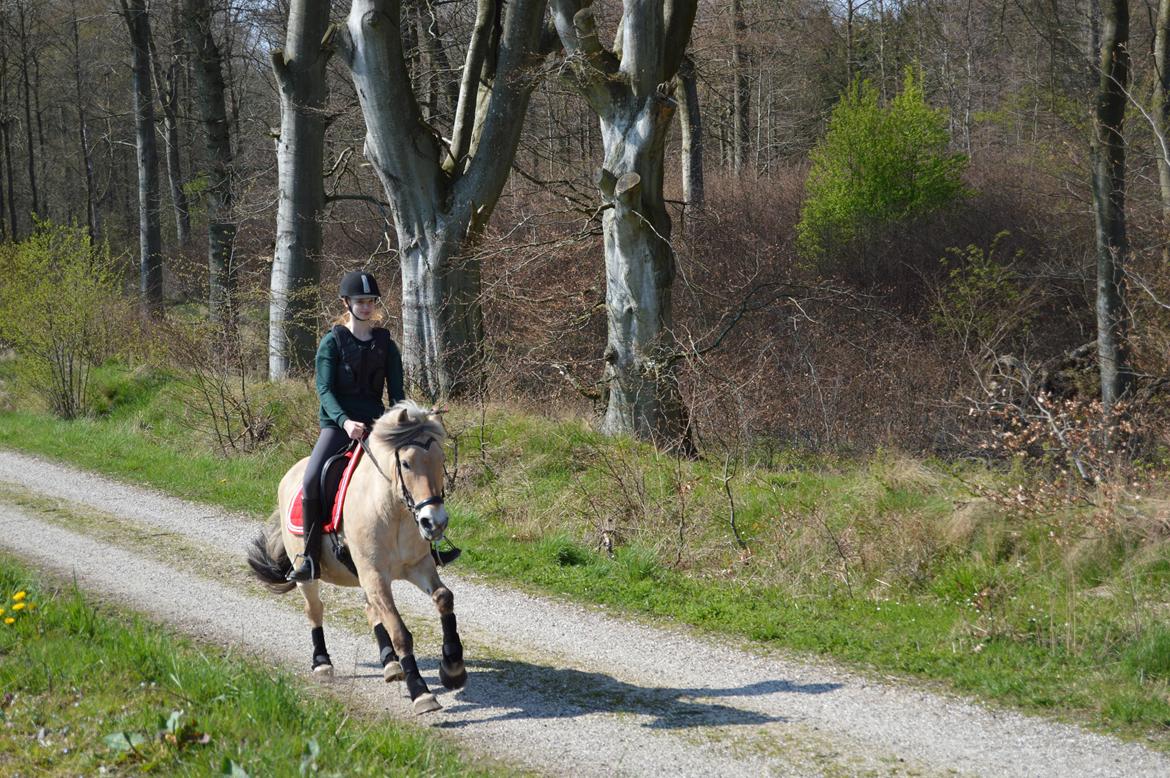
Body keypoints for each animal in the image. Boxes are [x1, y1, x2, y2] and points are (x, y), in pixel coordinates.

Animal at [248, 400, 465, 715]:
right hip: (309, 575)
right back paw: (322, 663)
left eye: (440, 458)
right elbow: (400, 632)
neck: (393, 511)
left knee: (370, 610)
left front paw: (453, 667)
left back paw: (390, 663)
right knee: (315, 610)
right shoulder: (375, 575)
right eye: (406, 463)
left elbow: (443, 598)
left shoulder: (417, 567)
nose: (434, 522)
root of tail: (290, 475)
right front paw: (421, 693)